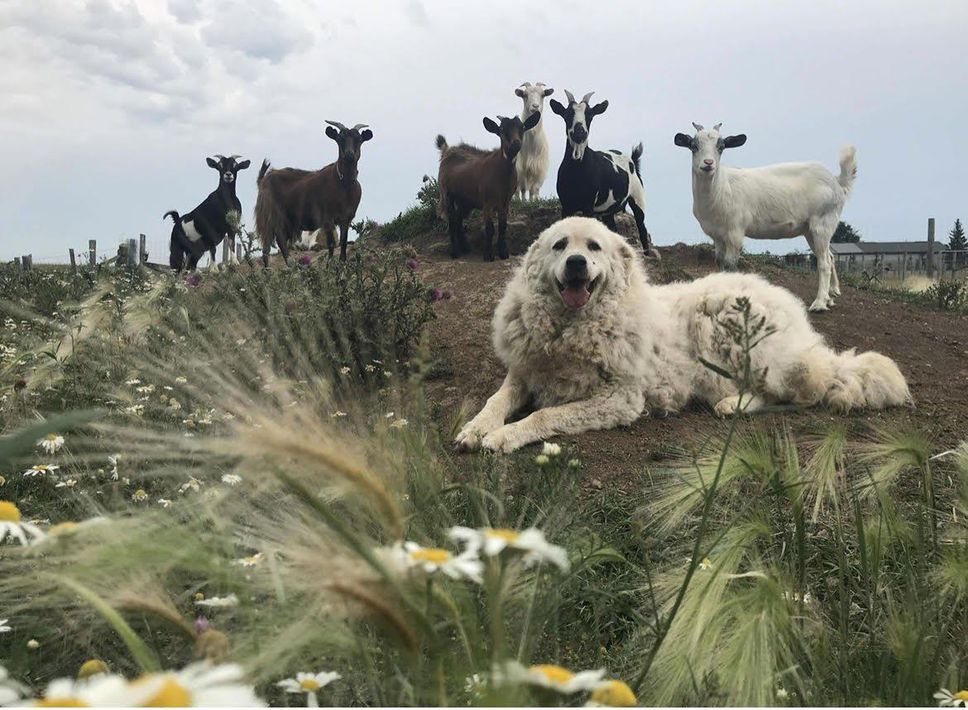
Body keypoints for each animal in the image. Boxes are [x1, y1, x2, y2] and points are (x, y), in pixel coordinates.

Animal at [255, 121, 372, 266]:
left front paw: (342, 264)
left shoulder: (346, 219)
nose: (349, 155)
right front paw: (329, 266)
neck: (345, 185)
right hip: (271, 216)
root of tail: (264, 179)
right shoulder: (327, 218)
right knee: (272, 244)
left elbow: (343, 244)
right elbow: (331, 244)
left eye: (359, 139)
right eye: (340, 139)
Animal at [436, 114, 540, 262]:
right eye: (501, 130)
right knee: (452, 220)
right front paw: (488, 255)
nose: (516, 143)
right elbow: (490, 228)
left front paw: (503, 253)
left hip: (466, 201)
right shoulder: (487, 202)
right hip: (447, 193)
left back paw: (465, 248)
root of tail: (448, 151)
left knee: (458, 219)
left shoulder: (505, 201)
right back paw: (455, 252)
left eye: (522, 127)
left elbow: (503, 226)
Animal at [454, 216, 908, 456]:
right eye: (560, 245)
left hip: (729, 331)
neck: (571, 326)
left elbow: (545, 416)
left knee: (798, 393)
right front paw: (476, 428)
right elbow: (496, 401)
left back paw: (733, 404)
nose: (577, 263)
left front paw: (503, 436)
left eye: (594, 247)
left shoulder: (619, 400)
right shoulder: (524, 374)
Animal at [548, 92, 660, 258]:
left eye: (590, 114)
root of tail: (632, 159)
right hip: (608, 211)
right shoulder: (566, 204)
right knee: (613, 229)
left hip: (638, 196)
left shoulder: (588, 205)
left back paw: (646, 255)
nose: (580, 133)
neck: (577, 173)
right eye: (567, 114)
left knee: (642, 227)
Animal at [672, 124, 856, 312]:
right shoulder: (717, 235)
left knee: (824, 263)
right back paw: (830, 297)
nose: (708, 163)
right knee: (830, 257)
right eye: (694, 146)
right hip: (810, 229)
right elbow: (720, 263)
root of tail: (836, 182)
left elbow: (731, 265)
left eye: (721, 147)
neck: (722, 188)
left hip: (823, 221)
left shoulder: (735, 231)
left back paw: (819, 303)